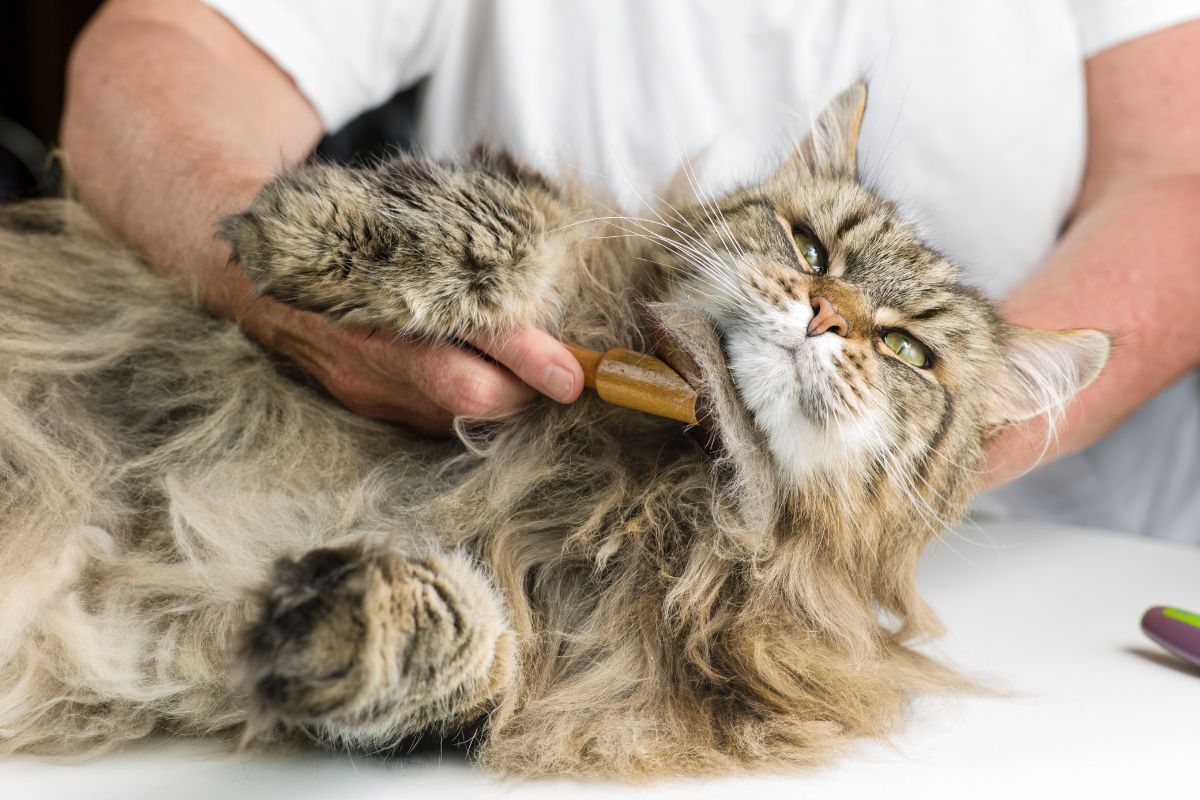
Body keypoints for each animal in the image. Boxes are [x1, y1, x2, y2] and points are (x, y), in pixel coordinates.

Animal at [0, 86, 1108, 777]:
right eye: (809, 248)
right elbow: (518, 226)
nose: (826, 318)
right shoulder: (578, 268)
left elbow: (463, 650)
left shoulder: (541, 668)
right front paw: (305, 229)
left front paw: (341, 612)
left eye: (907, 350)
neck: (663, 473)